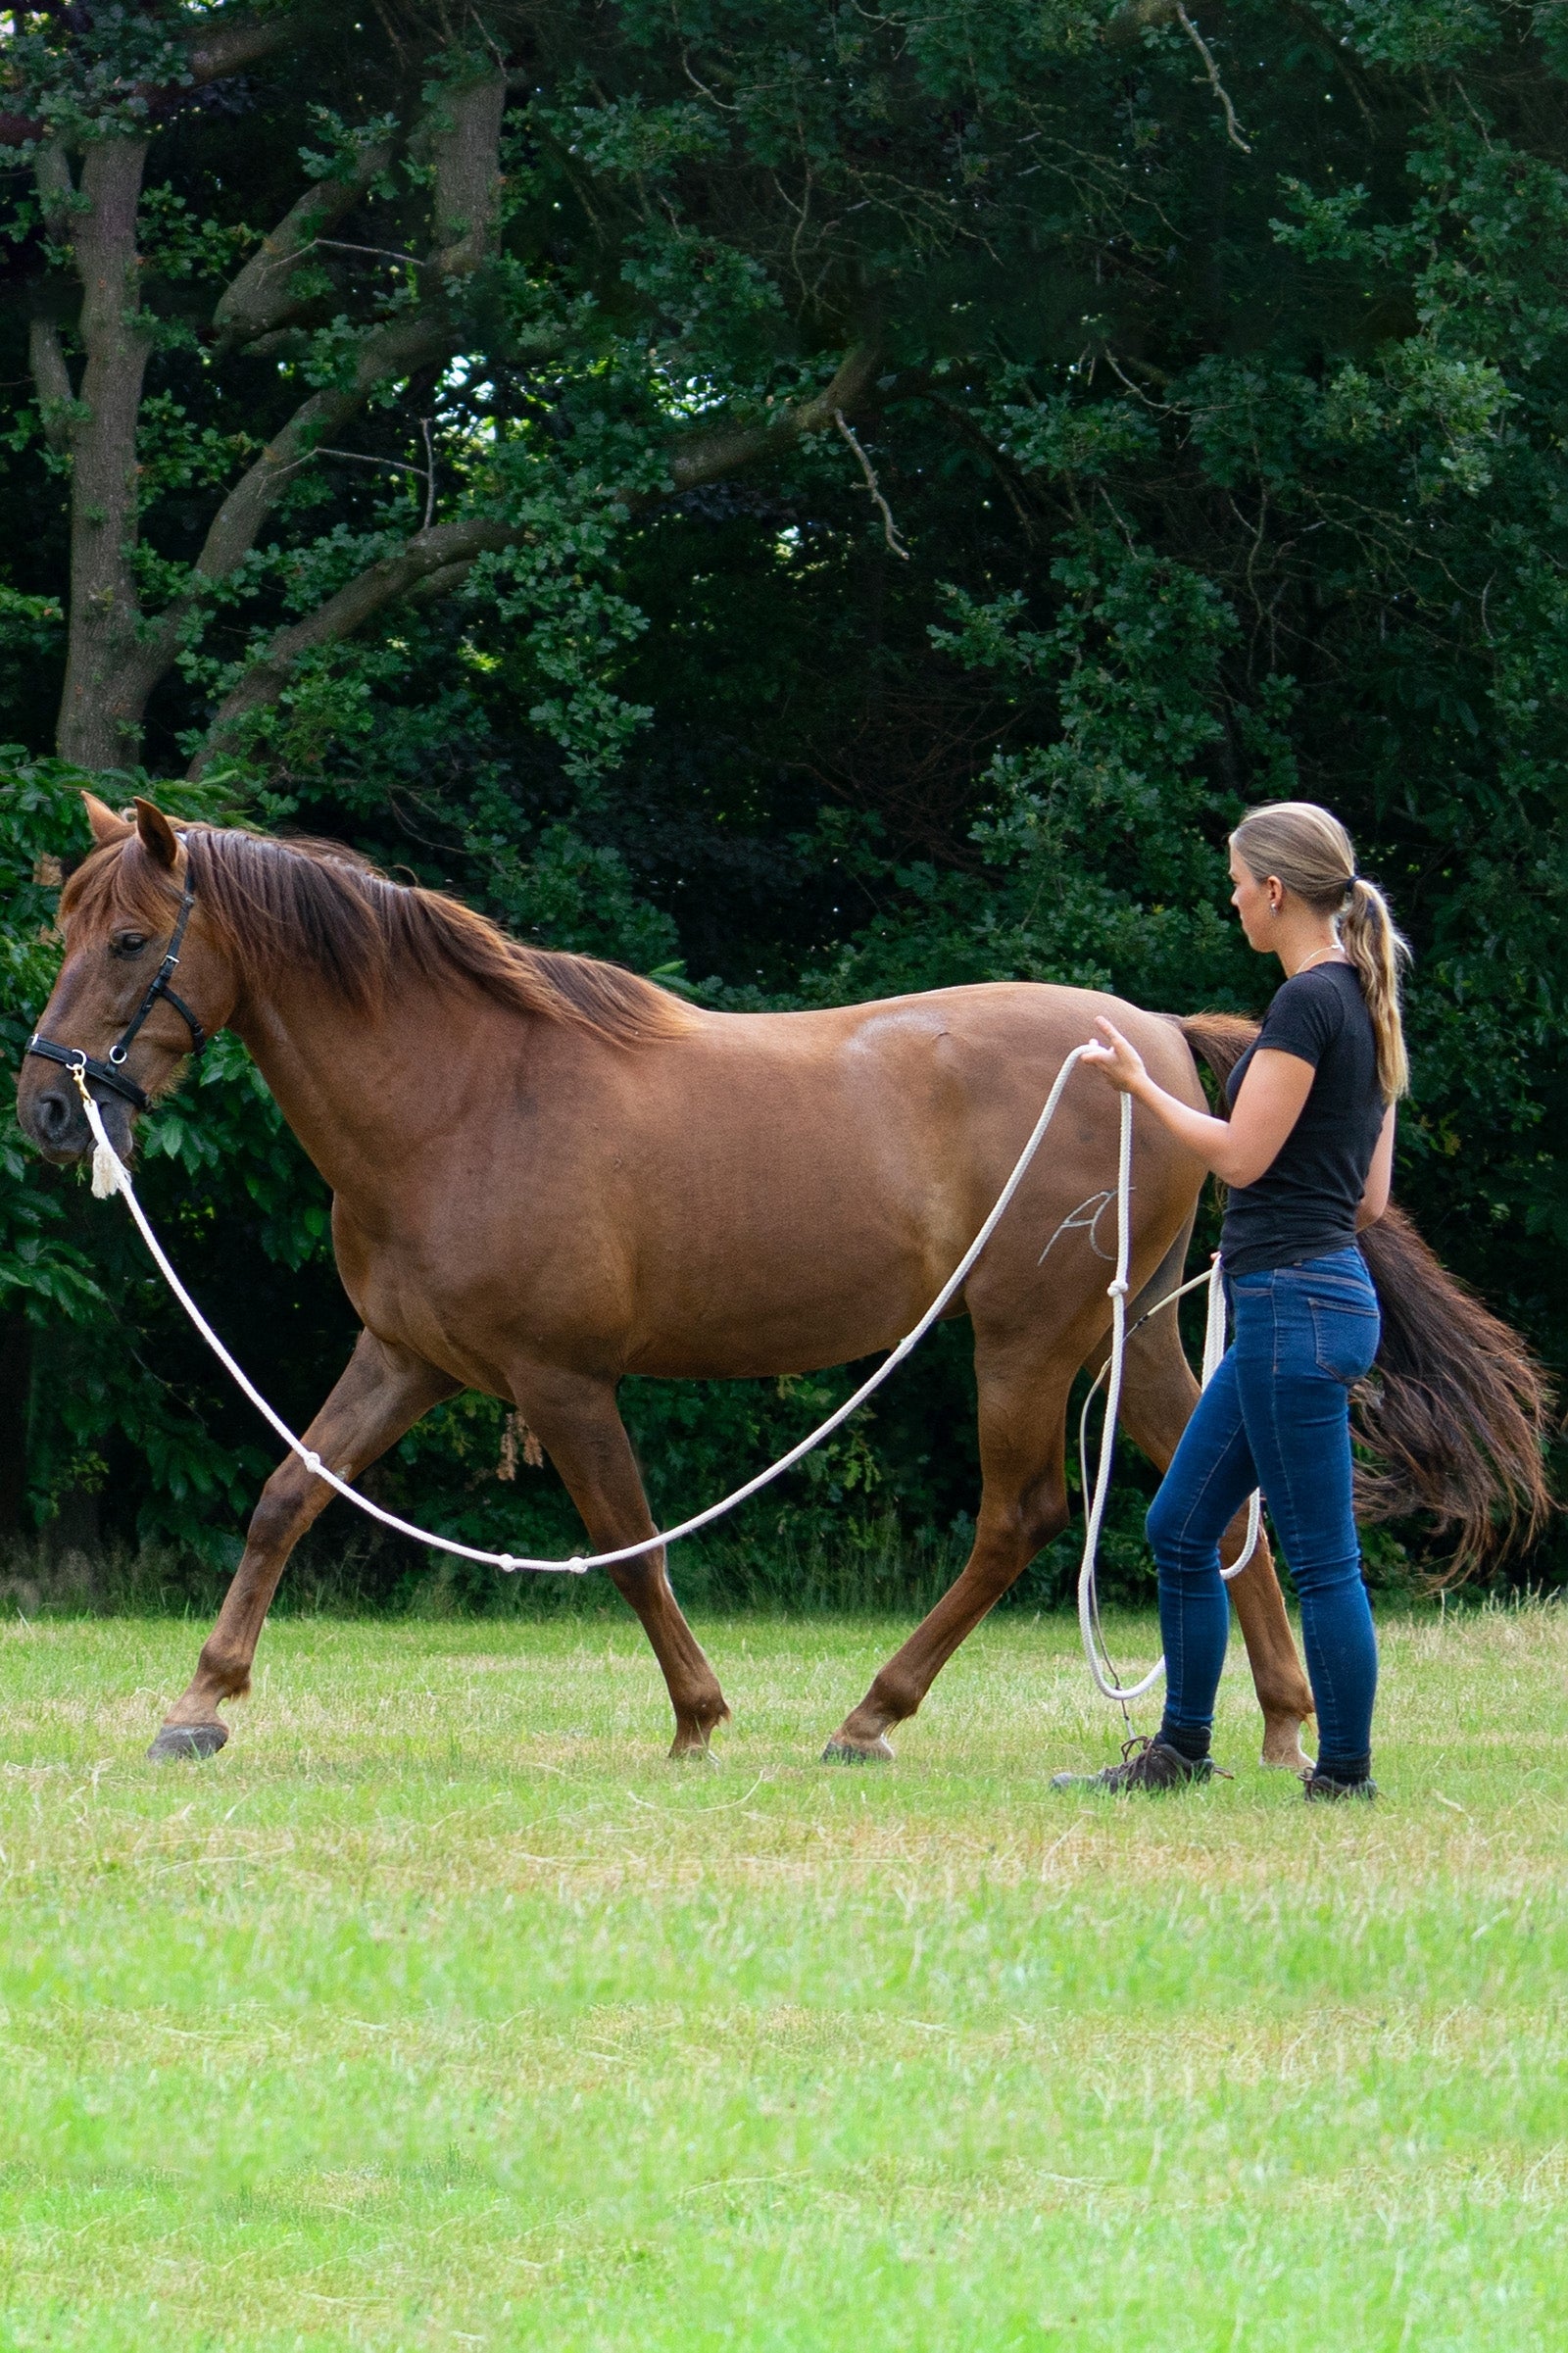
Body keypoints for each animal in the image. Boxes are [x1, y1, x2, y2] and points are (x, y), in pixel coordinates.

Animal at [16, 796, 1549, 1766]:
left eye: (132, 941)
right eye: (64, 935)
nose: (45, 1111)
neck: (466, 1095)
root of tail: (1152, 1044)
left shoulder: (563, 1381)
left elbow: (629, 1538)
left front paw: (699, 1714)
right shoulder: (409, 1360)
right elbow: (286, 1498)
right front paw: (202, 1702)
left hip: (1025, 1338)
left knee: (1022, 1517)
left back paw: (873, 1713)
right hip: (1132, 1339)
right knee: (1212, 1498)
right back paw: (1286, 1722)